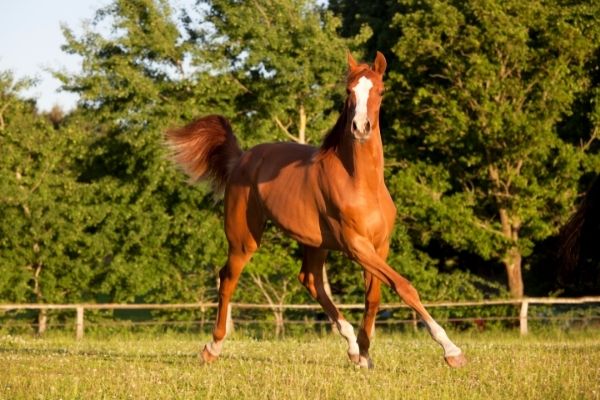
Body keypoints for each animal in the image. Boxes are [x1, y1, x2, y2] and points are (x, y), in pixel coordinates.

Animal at [166, 51, 466, 368]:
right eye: (348, 91)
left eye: (381, 91)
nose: (360, 128)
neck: (362, 183)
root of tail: (241, 158)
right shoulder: (357, 246)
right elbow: (404, 286)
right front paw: (452, 351)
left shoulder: (379, 246)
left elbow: (374, 297)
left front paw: (364, 354)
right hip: (243, 240)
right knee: (228, 278)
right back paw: (212, 348)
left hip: (314, 243)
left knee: (310, 280)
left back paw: (351, 347)